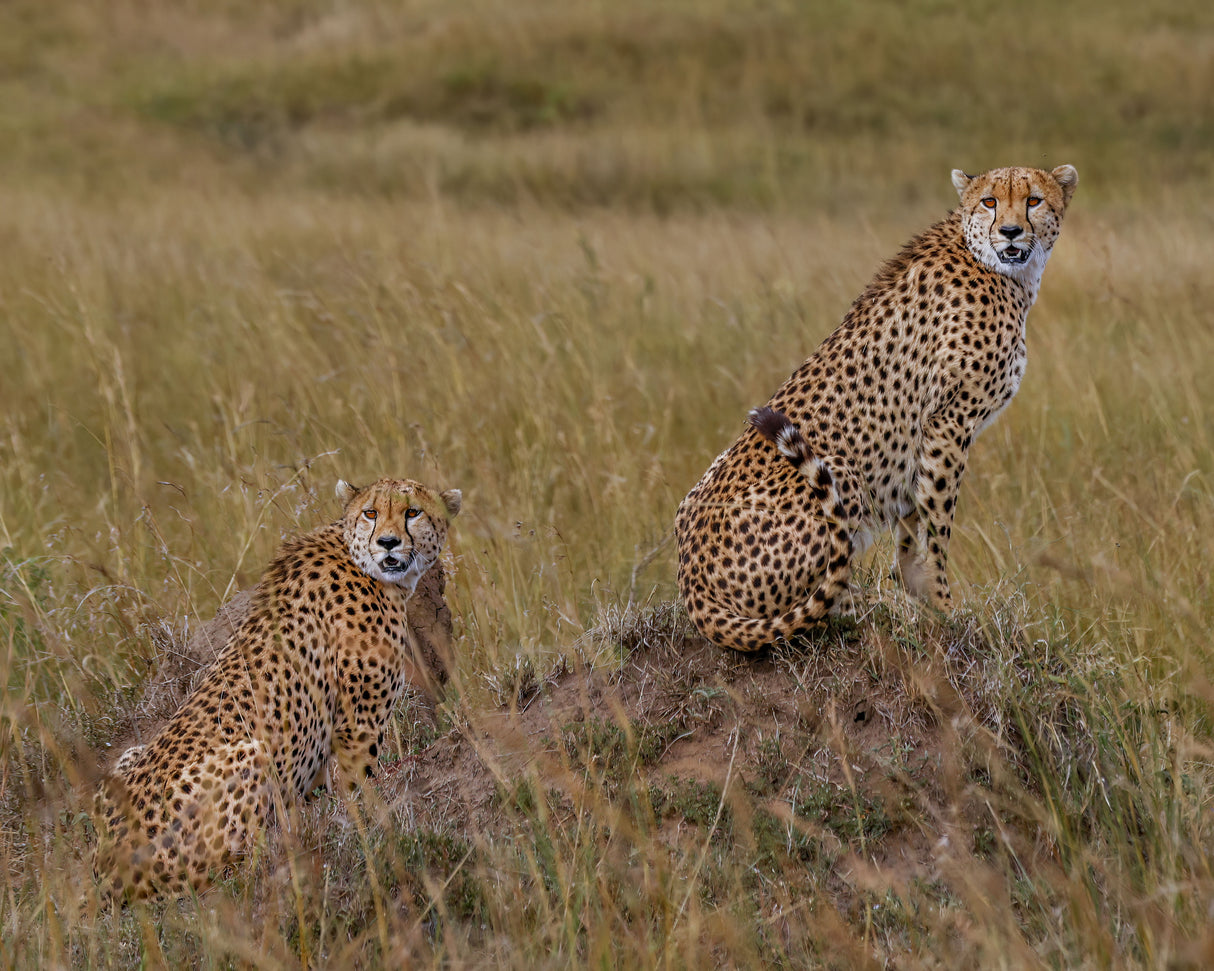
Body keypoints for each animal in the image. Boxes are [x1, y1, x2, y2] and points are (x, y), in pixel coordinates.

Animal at [93, 476, 462, 901]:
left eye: (412, 512)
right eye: (371, 513)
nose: (387, 542)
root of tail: (107, 868)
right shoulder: (360, 726)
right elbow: (360, 790)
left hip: (127, 758)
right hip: (252, 756)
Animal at [675, 164, 1078, 652]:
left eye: (1034, 200)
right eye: (990, 202)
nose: (1011, 231)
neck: (1000, 268)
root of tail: (692, 580)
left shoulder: (925, 442)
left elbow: (911, 524)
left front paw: (917, 594)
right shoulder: (948, 424)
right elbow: (937, 529)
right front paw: (945, 609)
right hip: (840, 472)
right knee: (821, 606)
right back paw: (874, 610)